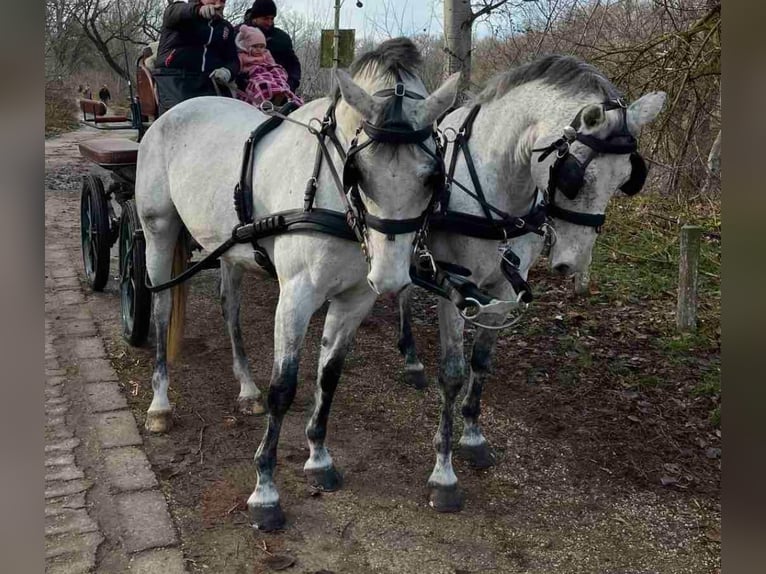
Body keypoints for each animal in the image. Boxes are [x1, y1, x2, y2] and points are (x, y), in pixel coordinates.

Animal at [134, 39, 460, 532]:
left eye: (431, 176)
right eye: (358, 171)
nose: (389, 277)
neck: (328, 192)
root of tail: (173, 112)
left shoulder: (353, 300)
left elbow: (329, 375)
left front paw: (319, 458)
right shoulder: (296, 297)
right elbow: (284, 386)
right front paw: (265, 490)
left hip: (228, 246)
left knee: (230, 307)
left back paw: (245, 387)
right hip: (158, 231)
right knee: (160, 308)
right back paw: (159, 403)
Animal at [396, 55, 664, 512]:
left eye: (626, 178)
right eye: (575, 175)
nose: (574, 263)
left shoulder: (502, 291)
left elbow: (482, 362)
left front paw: (473, 437)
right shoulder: (455, 287)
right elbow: (452, 373)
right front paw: (443, 473)